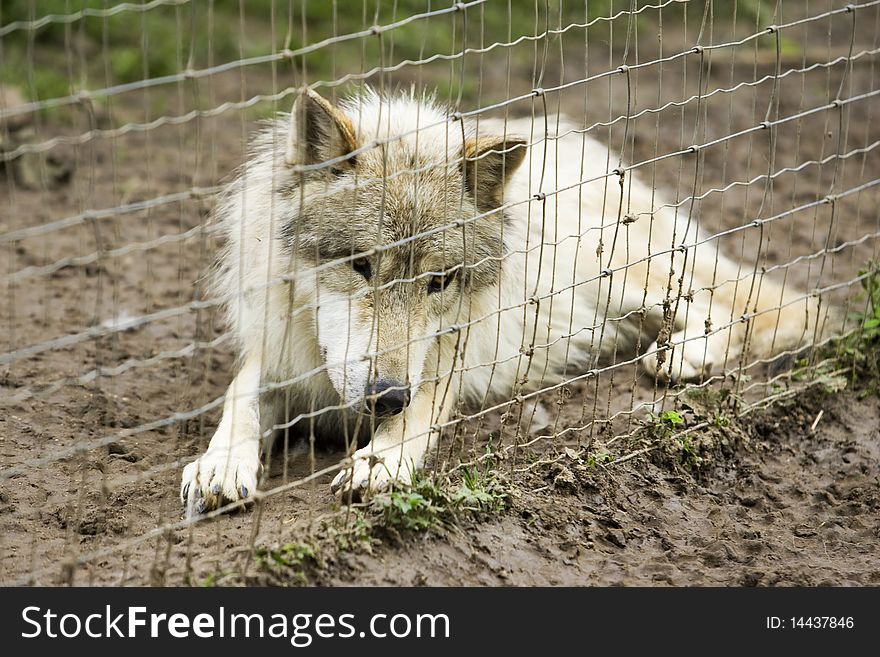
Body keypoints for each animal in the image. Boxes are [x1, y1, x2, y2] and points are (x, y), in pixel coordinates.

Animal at [179, 87, 824, 512]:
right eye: (360, 266)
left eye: (439, 282)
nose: (385, 395)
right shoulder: (275, 356)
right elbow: (239, 400)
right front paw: (220, 464)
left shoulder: (446, 361)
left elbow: (418, 412)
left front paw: (379, 462)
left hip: (611, 275)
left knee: (747, 304)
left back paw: (684, 356)